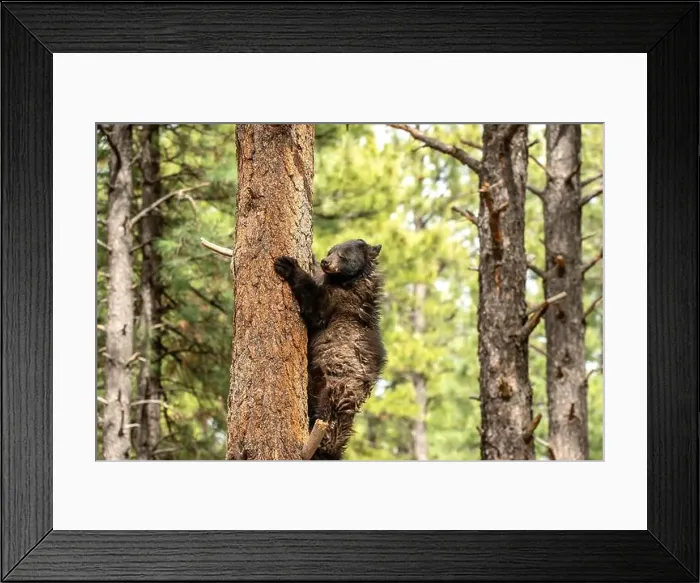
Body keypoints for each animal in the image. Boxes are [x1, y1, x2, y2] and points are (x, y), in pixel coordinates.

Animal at [274, 239, 386, 459]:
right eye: (330, 251)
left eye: (343, 255)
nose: (325, 262)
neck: (346, 281)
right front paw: (311, 259)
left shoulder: (340, 301)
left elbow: (316, 309)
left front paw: (289, 266)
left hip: (334, 389)